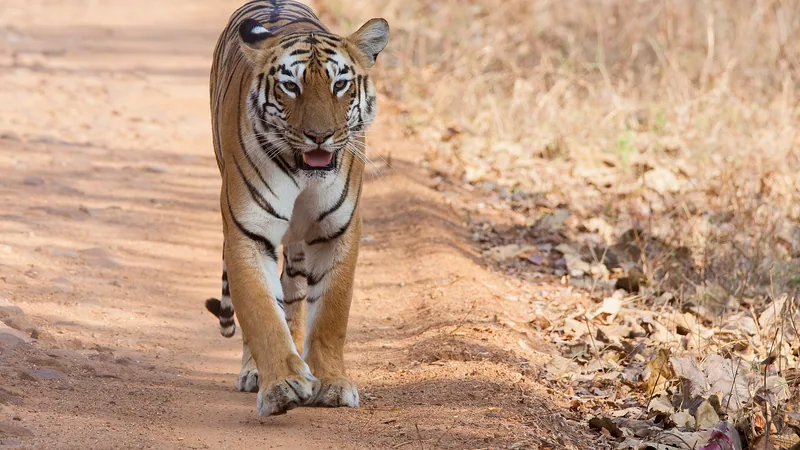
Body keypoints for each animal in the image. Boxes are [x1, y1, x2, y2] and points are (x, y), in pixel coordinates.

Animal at [202, 0, 389, 416]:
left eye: (340, 85)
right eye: (291, 86)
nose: (319, 136)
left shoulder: (338, 231)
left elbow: (331, 313)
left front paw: (331, 383)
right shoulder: (248, 232)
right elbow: (261, 312)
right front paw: (281, 385)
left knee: (296, 295)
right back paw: (256, 372)